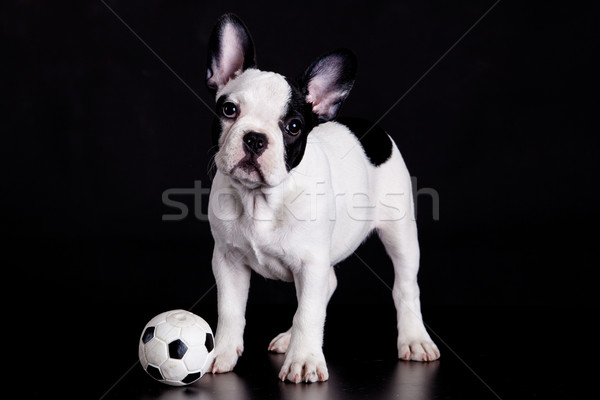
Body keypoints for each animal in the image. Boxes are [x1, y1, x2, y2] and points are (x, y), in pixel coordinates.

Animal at [204, 14, 438, 382]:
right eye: (229, 110)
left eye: (293, 126)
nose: (255, 138)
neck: (262, 200)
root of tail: (371, 129)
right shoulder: (228, 261)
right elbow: (230, 310)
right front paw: (222, 352)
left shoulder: (310, 263)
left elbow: (309, 314)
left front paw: (303, 360)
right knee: (328, 284)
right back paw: (289, 338)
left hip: (399, 232)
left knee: (405, 286)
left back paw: (414, 339)